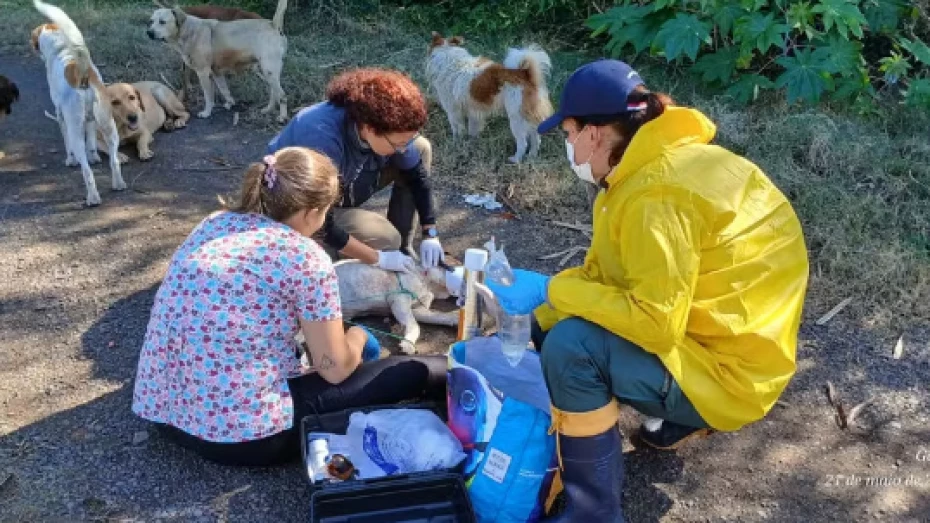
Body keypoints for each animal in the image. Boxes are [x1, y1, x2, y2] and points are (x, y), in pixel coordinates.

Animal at [31, 0, 125, 209]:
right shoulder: (90, 121)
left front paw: (70, 160)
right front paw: (95, 157)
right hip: (110, 128)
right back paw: (118, 184)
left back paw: (93, 197)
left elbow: (68, 147)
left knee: (87, 171)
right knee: (114, 161)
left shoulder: (61, 116)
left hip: (75, 131)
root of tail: (83, 75)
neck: (62, 47)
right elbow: (92, 142)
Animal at [145, 0, 288, 122]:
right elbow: (225, 90)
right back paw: (268, 109)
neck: (187, 30)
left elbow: (209, 97)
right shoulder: (216, 73)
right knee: (274, 92)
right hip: (265, 71)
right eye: (151, 21)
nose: (149, 33)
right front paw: (230, 103)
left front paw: (207, 112)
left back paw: (282, 116)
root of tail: (273, 24)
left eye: (162, 22)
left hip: (268, 71)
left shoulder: (203, 73)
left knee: (282, 95)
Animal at [426, 31, 552, 163]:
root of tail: (524, 75)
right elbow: (472, 128)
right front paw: (472, 141)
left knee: (523, 143)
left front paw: (456, 143)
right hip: (527, 115)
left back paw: (516, 159)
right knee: (535, 137)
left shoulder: (453, 110)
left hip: (516, 118)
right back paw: (532, 155)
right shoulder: (472, 111)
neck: (447, 55)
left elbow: (456, 128)